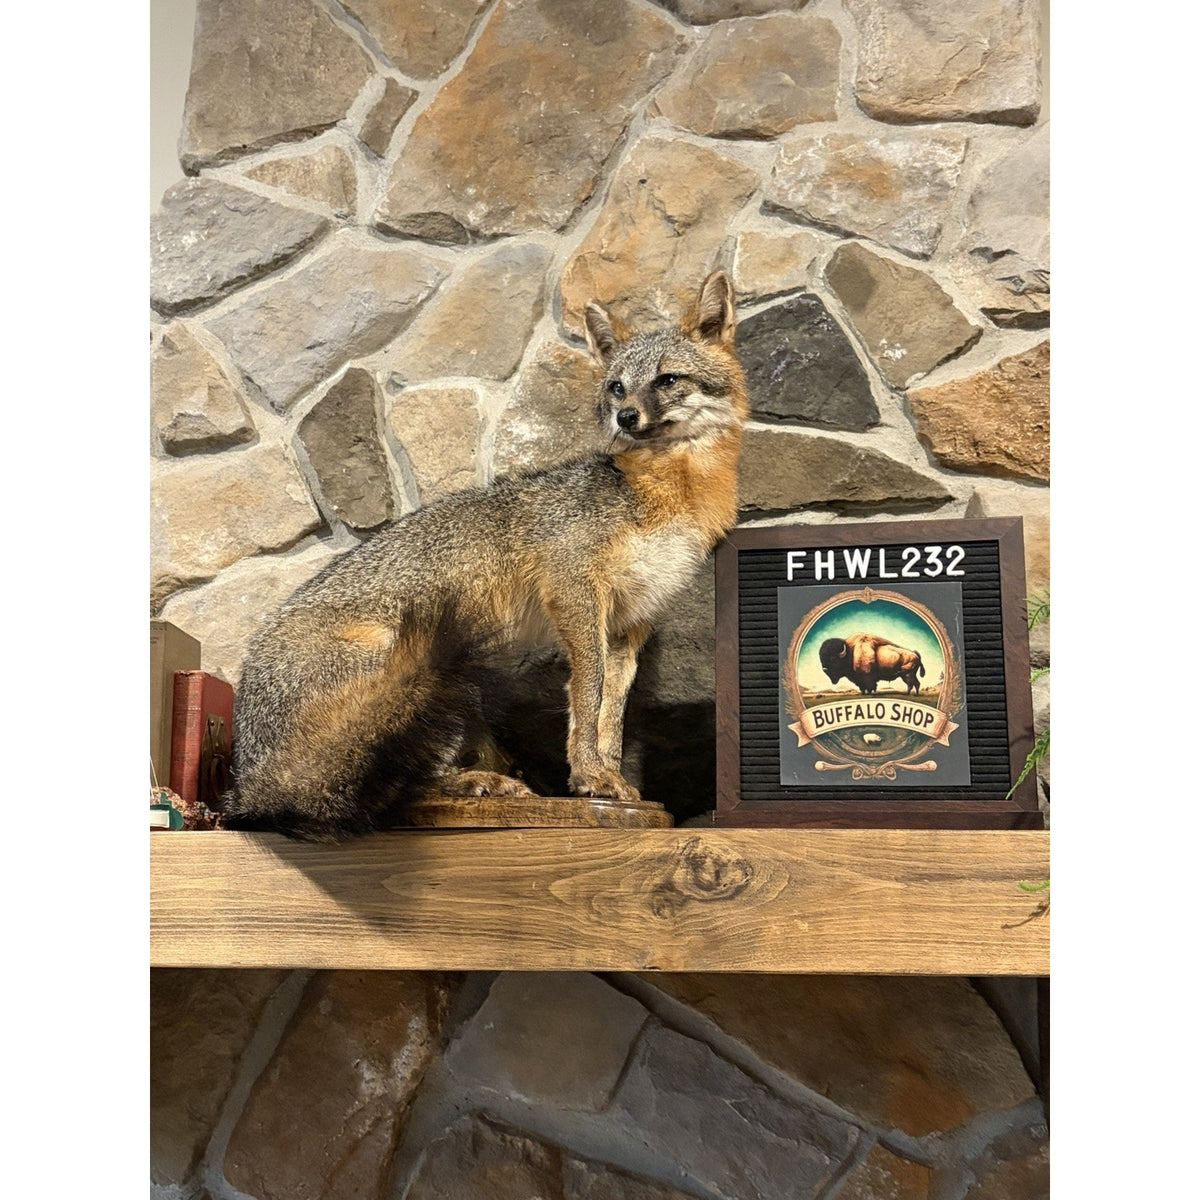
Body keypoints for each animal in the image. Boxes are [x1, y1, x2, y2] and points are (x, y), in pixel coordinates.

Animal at [221, 270, 749, 841]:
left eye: (667, 380)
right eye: (617, 386)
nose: (625, 417)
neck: (667, 496)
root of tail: (249, 786)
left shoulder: (630, 624)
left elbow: (613, 712)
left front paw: (610, 779)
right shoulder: (574, 593)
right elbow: (587, 695)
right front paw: (588, 776)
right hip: (429, 664)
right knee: (390, 794)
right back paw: (479, 784)